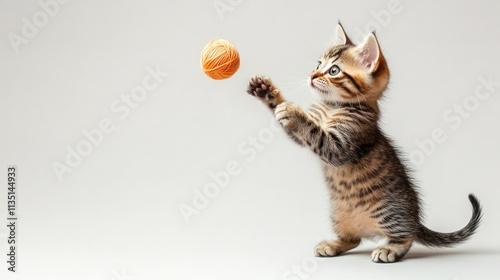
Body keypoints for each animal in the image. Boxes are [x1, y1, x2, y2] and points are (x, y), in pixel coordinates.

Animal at [245, 22, 480, 262]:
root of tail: (414, 218)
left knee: (407, 236)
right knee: (354, 240)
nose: (311, 75)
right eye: (318, 64)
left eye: (334, 70)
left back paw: (390, 249)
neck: (332, 107)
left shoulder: (342, 145)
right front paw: (266, 91)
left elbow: (314, 132)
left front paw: (293, 113)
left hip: (389, 212)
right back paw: (334, 244)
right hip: (338, 215)